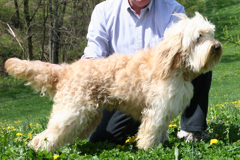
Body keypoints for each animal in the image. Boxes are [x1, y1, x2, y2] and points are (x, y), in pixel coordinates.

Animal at [4, 12, 221, 151]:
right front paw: (149, 149)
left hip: (88, 115)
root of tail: (67, 69)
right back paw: (38, 149)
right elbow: (150, 131)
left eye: (211, 33)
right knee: (49, 134)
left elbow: (160, 130)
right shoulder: (156, 109)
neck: (174, 64)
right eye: (199, 37)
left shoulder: (165, 109)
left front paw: (161, 144)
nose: (217, 46)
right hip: (73, 110)